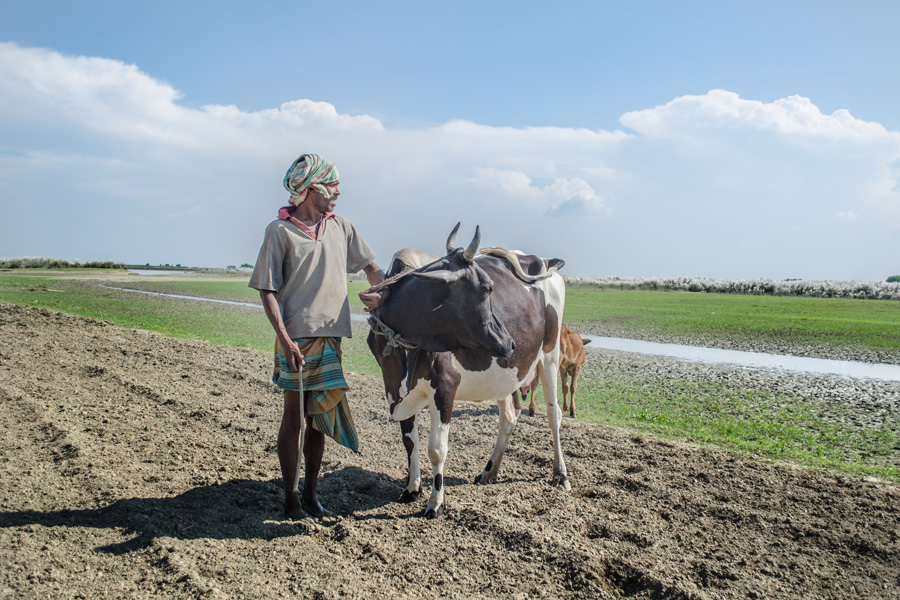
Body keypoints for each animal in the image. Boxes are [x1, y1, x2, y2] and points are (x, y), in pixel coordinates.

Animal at [368, 224, 568, 516]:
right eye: (486, 288)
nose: (510, 343)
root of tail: (542, 260)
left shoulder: (445, 386)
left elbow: (437, 449)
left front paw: (436, 503)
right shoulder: (394, 388)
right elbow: (410, 441)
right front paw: (412, 489)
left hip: (550, 355)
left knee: (555, 415)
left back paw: (560, 474)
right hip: (505, 374)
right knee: (509, 417)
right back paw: (489, 471)